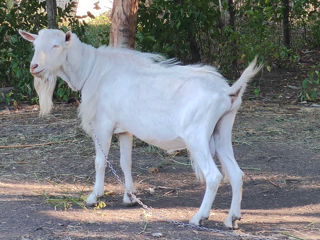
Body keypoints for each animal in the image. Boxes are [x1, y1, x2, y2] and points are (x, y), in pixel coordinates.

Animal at [18, 29, 262, 230]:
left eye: (56, 45)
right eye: (34, 45)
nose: (34, 67)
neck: (92, 70)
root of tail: (228, 91)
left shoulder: (103, 125)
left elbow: (100, 161)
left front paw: (94, 197)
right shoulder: (125, 130)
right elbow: (126, 162)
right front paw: (130, 197)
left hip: (197, 137)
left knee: (213, 176)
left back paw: (198, 218)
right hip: (222, 132)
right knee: (236, 174)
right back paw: (232, 219)